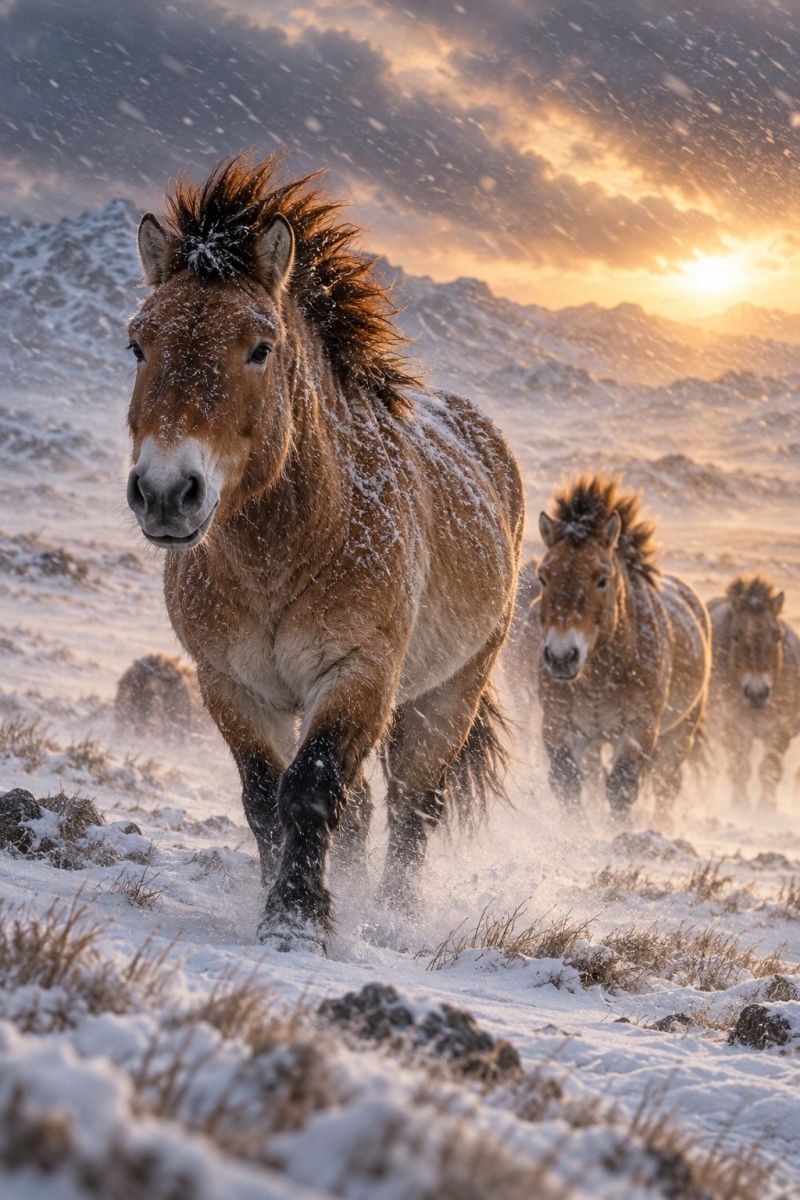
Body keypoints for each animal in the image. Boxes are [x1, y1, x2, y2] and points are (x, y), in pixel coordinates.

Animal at [124, 155, 524, 948]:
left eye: (260, 347)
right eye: (138, 345)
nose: (165, 492)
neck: (284, 554)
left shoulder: (357, 673)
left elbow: (310, 788)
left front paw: (298, 919)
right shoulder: (231, 684)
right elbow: (263, 797)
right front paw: (280, 899)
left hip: (447, 695)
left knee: (413, 807)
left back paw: (393, 913)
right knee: (365, 806)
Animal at [530, 475, 710, 823]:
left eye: (602, 579)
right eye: (544, 577)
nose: (561, 657)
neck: (601, 678)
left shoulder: (639, 731)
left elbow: (621, 787)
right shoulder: (558, 725)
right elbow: (567, 783)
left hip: (680, 732)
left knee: (667, 784)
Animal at [708, 576, 800, 810]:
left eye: (777, 636)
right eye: (736, 636)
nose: (757, 693)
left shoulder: (780, 729)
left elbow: (770, 769)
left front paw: (767, 808)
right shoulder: (734, 727)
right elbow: (740, 768)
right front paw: (740, 806)